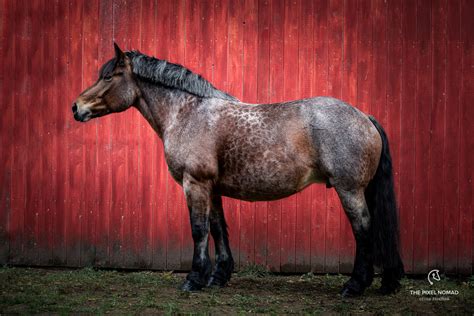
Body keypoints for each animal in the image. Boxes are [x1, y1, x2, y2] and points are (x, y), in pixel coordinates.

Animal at [73, 42, 404, 296]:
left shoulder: (195, 183)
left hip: (350, 190)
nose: (76, 107)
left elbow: (199, 229)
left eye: (110, 76)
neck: (188, 112)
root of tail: (365, 116)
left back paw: (354, 286)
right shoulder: (211, 187)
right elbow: (219, 228)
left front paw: (193, 279)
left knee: (363, 229)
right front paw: (218, 277)